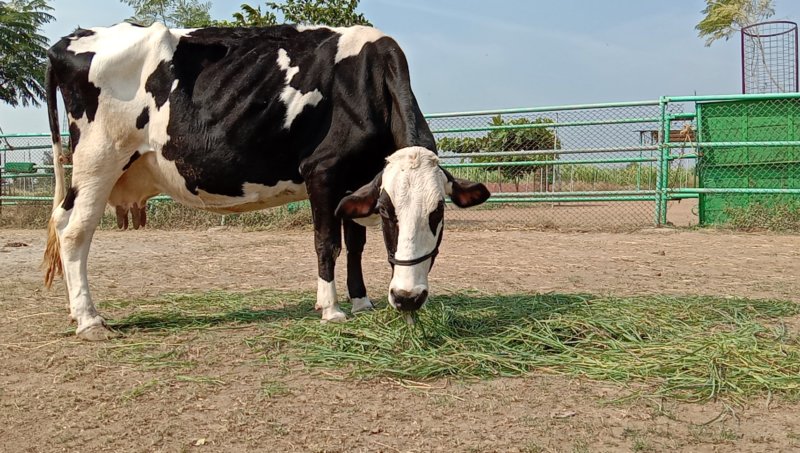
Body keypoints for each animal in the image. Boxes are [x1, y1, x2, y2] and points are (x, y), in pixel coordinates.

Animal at [47, 22, 490, 340]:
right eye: (387, 211)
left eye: (438, 213)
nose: (407, 297)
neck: (365, 83)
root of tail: (72, 39)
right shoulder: (323, 172)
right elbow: (327, 243)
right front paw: (331, 309)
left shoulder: (357, 179)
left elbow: (356, 244)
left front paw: (362, 301)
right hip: (98, 159)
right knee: (74, 230)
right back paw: (89, 320)